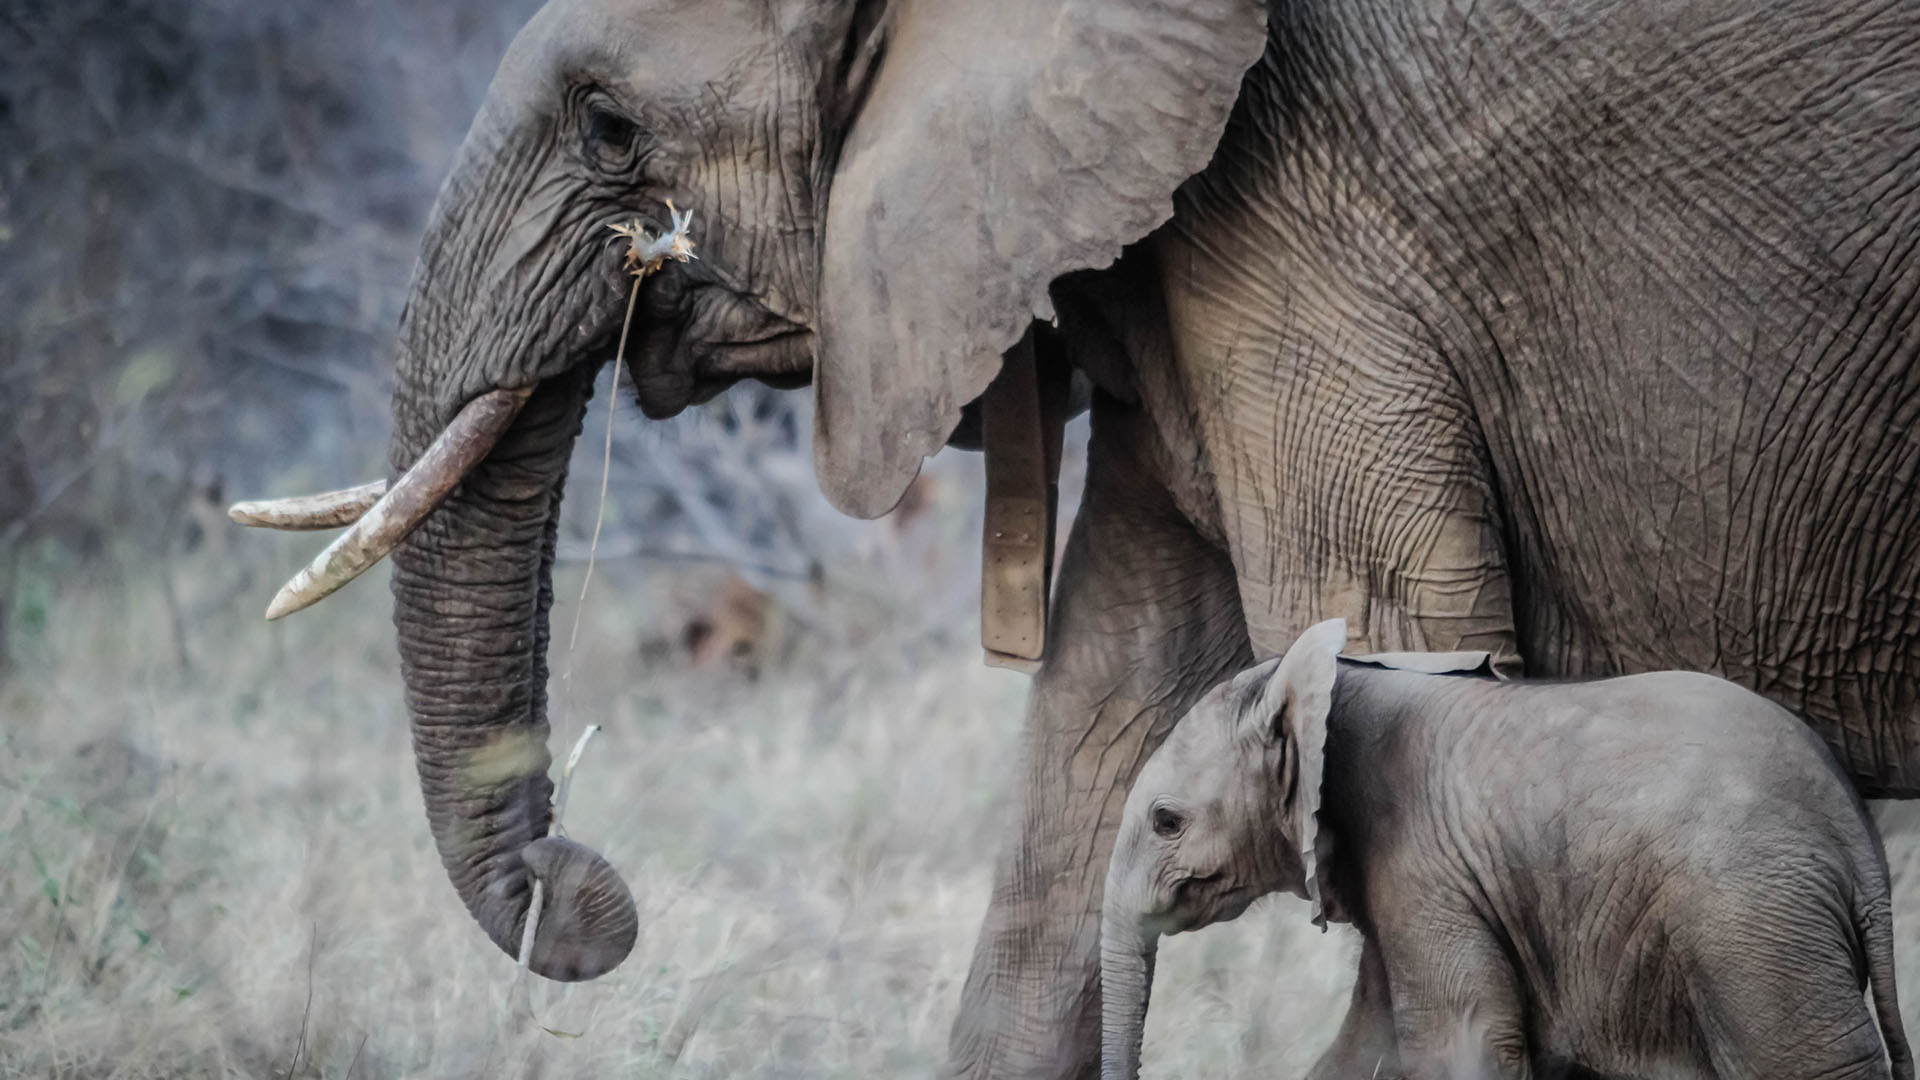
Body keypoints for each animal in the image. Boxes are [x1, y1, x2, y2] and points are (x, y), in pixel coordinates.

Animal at [1101, 619, 1914, 1080]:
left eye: (1167, 821)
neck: (1329, 681)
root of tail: (1858, 844)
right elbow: (1365, 1049)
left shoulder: (1425, 866)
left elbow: (1462, 1047)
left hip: (1752, 928)